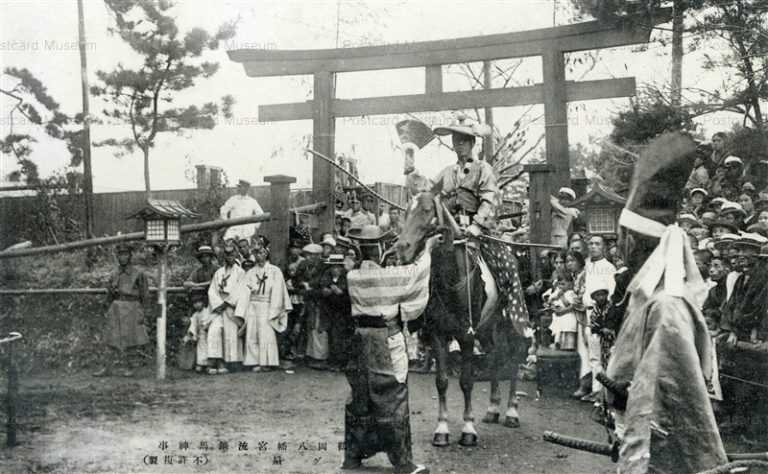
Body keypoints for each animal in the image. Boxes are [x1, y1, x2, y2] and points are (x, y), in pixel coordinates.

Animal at [396, 192, 520, 448]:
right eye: (406, 211)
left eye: (426, 210)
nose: (402, 249)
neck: (450, 278)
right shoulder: (438, 334)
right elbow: (442, 381)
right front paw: (442, 428)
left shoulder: (466, 335)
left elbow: (466, 381)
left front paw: (468, 429)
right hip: (486, 328)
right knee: (495, 356)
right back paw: (493, 408)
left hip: (508, 324)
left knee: (512, 359)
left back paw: (512, 412)